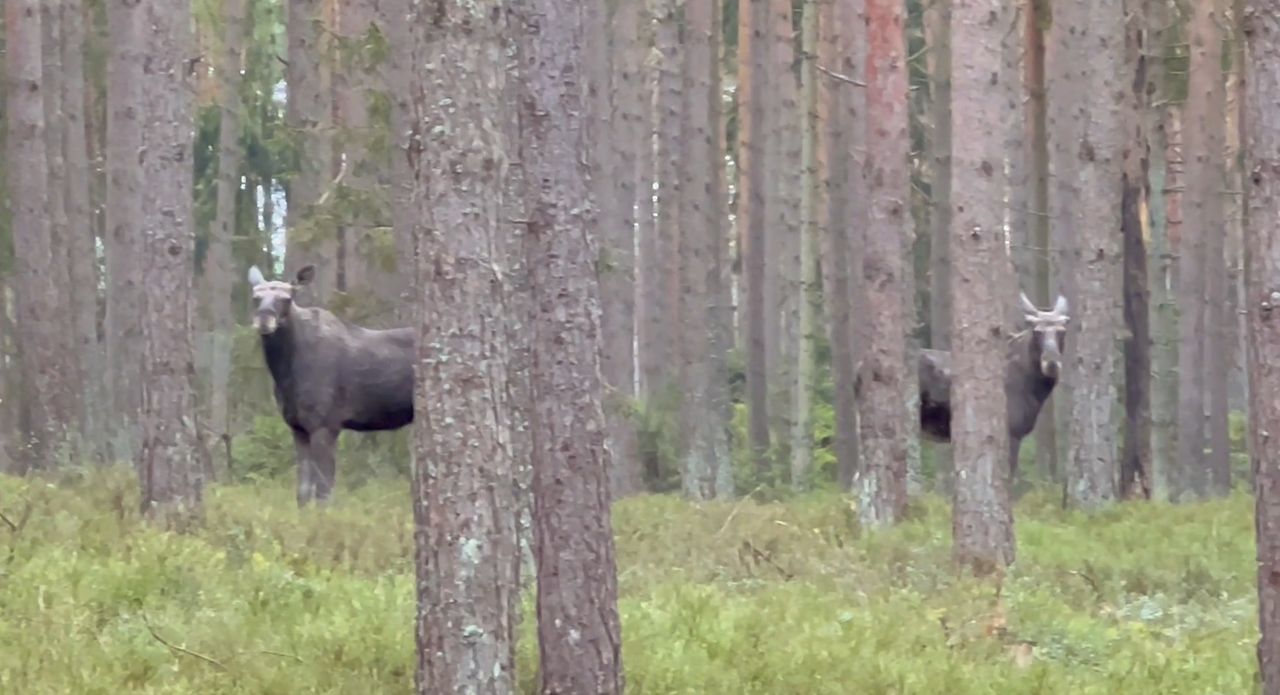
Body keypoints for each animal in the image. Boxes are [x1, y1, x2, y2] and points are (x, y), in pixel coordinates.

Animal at [245, 263, 414, 509]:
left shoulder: (326, 424)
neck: (284, 373)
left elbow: (324, 493)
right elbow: (302, 492)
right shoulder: (297, 427)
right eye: (255, 297)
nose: (264, 320)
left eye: (287, 298)